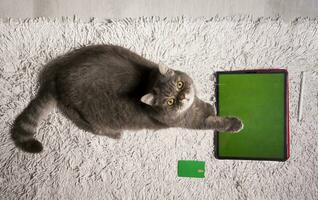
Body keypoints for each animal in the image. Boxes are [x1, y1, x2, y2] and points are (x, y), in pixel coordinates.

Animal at [9, 44, 243, 153]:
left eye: (179, 84)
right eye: (169, 101)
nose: (183, 96)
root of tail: (56, 78)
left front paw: (209, 105)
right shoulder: (192, 122)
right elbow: (215, 122)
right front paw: (233, 123)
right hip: (89, 117)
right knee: (96, 128)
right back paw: (115, 134)